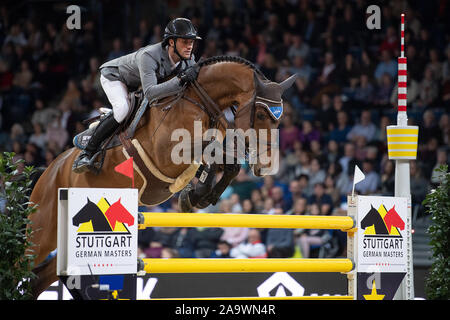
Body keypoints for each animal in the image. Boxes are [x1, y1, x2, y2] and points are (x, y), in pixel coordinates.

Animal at [27, 55, 296, 298]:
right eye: (261, 115)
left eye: (279, 117)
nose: (266, 164)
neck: (198, 99)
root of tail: (49, 170)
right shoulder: (166, 153)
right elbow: (212, 149)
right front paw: (196, 193)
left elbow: (227, 163)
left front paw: (198, 196)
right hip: (43, 229)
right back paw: (85, 159)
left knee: (42, 277)